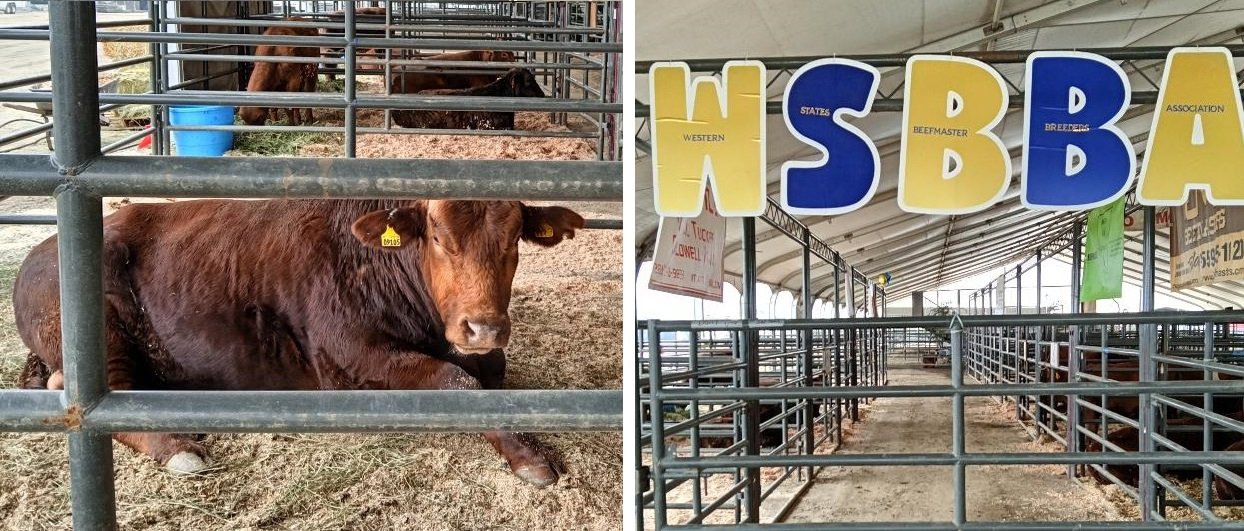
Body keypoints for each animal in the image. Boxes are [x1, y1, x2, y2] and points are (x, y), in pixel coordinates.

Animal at [14, 199, 585, 488]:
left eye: (513, 242)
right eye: (440, 239)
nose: (482, 326)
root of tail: (41, 251)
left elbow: (489, 372)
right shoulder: (348, 361)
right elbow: (458, 381)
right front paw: (528, 457)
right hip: (96, 330)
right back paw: (177, 447)